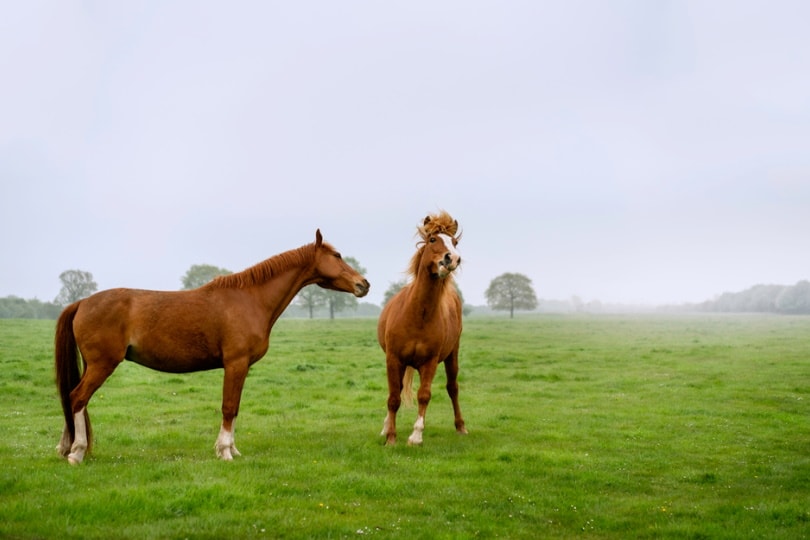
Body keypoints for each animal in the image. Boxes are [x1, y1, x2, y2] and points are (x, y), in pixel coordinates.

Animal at [56, 229, 370, 464]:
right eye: (337, 256)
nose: (363, 284)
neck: (249, 299)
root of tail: (82, 302)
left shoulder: (240, 367)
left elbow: (235, 407)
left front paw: (233, 449)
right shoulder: (236, 363)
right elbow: (229, 407)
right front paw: (225, 452)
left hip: (92, 365)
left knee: (73, 398)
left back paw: (66, 447)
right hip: (102, 364)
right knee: (78, 398)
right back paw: (77, 452)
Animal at [374, 213, 464, 446]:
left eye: (455, 242)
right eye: (432, 239)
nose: (452, 258)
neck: (418, 315)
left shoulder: (429, 362)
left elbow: (424, 395)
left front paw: (415, 435)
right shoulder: (393, 359)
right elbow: (393, 398)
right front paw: (391, 437)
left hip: (452, 355)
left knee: (453, 388)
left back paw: (461, 426)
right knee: (395, 391)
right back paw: (386, 426)